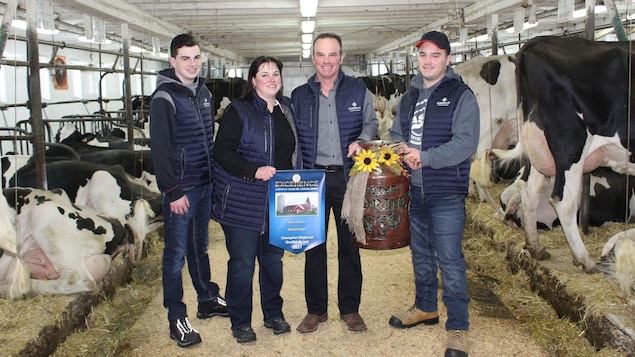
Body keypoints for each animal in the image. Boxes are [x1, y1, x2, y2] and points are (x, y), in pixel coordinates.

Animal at [494, 34, 635, 272]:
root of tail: (540, 41)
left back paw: (536, 249)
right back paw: (585, 260)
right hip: (570, 145)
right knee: (564, 201)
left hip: (539, 148)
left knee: (529, 192)